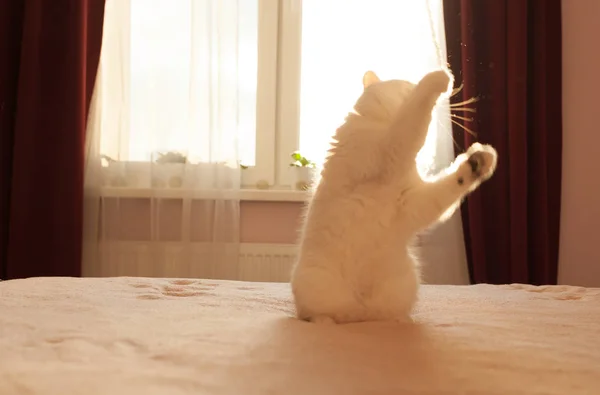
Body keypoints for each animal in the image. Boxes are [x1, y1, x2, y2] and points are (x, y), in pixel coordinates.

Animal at [290, 69, 496, 324]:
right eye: (408, 84)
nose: (445, 98)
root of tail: (360, 316)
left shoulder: (415, 201)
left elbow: (451, 184)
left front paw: (480, 161)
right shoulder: (389, 154)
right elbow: (413, 119)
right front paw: (440, 76)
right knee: (321, 317)